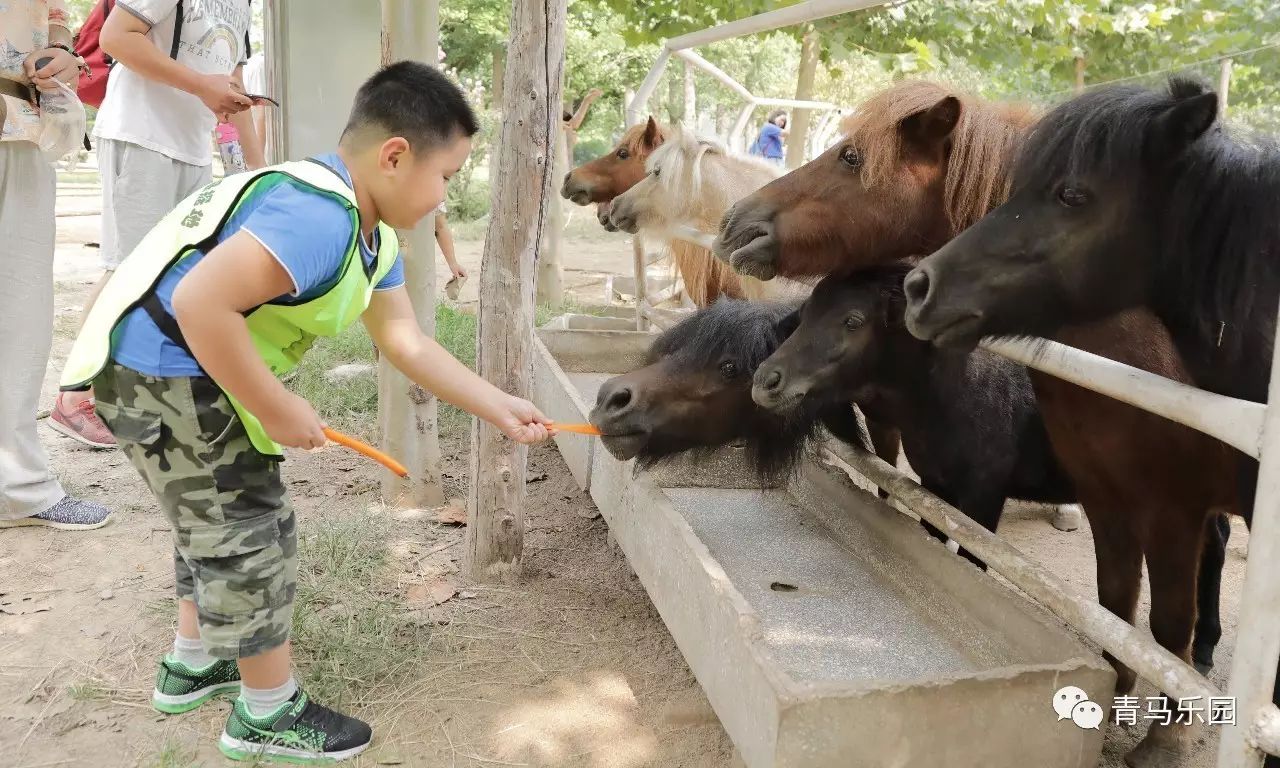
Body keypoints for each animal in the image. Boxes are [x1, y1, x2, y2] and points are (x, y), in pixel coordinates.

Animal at [721, 80, 1239, 762]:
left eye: (852, 157)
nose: (735, 224)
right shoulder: (1102, 501)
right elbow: (1113, 603)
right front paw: (1115, 694)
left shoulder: (1162, 509)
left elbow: (1160, 621)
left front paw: (1163, 739)